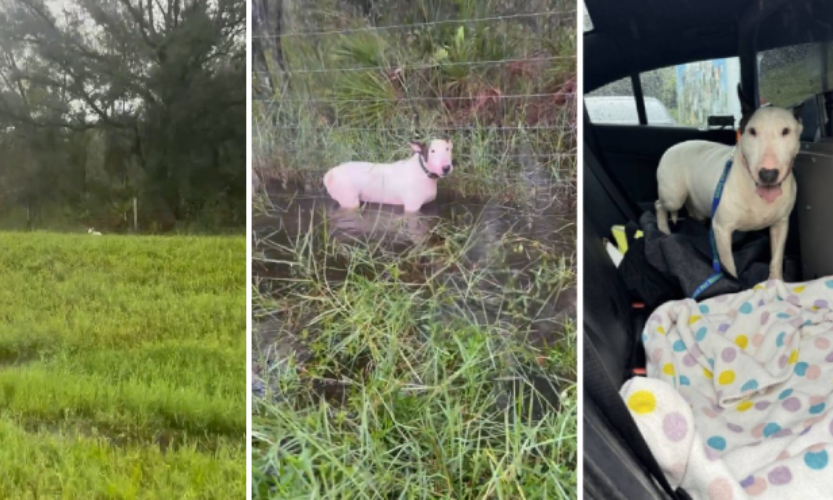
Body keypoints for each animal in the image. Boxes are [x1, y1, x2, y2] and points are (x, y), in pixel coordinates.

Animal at [322, 139, 452, 213]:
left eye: (448, 149)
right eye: (432, 151)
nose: (446, 168)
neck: (423, 172)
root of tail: (329, 174)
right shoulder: (412, 207)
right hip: (349, 200)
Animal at [652, 86, 804, 282]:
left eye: (786, 131)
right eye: (752, 131)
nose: (768, 174)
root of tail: (672, 147)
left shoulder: (780, 224)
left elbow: (776, 259)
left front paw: (776, 282)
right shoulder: (722, 230)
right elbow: (729, 265)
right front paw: (734, 283)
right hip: (673, 196)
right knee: (659, 205)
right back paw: (663, 230)